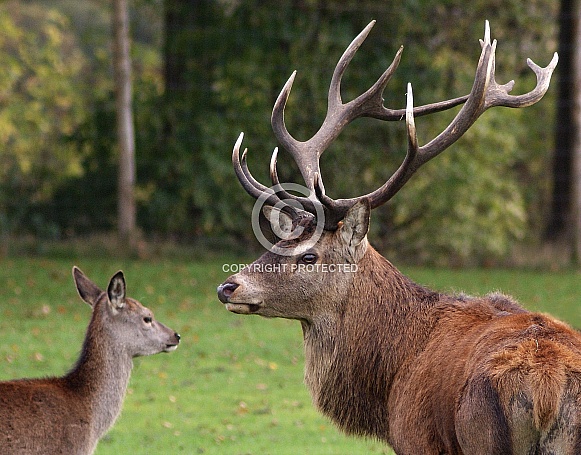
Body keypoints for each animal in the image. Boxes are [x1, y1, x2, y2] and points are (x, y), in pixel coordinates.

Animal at [215, 22, 572, 455]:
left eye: (309, 256)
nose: (228, 286)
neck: (390, 380)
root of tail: (547, 388)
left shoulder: (417, 438)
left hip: (481, 437)